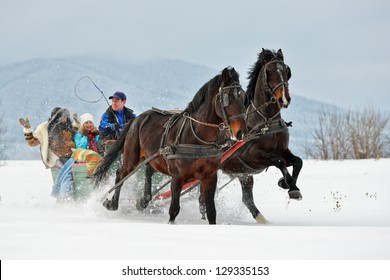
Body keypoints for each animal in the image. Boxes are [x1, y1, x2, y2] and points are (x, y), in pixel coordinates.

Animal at [93, 66, 247, 224]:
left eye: (243, 97)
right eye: (228, 98)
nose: (241, 132)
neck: (197, 139)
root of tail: (137, 119)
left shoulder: (209, 177)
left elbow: (211, 212)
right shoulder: (177, 177)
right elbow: (174, 209)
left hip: (153, 156)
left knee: (148, 171)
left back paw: (143, 201)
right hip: (132, 156)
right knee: (121, 174)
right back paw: (112, 203)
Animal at [218, 48, 304, 223]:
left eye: (287, 71)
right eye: (269, 71)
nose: (284, 99)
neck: (265, 122)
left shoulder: (283, 151)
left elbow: (298, 161)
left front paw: (288, 184)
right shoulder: (254, 156)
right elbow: (280, 162)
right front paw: (290, 186)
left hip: (243, 175)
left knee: (247, 199)